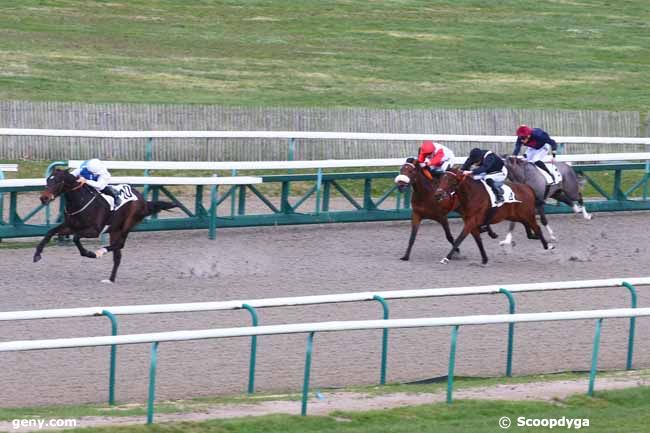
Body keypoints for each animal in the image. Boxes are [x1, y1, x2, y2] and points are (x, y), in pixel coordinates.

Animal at [33, 167, 177, 282]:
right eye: (48, 180)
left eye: (58, 181)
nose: (44, 198)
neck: (80, 200)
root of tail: (144, 201)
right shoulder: (71, 226)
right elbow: (50, 232)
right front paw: (37, 255)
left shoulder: (94, 230)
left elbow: (76, 238)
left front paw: (89, 253)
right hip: (115, 230)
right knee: (117, 255)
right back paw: (110, 279)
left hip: (127, 224)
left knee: (120, 244)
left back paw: (100, 252)